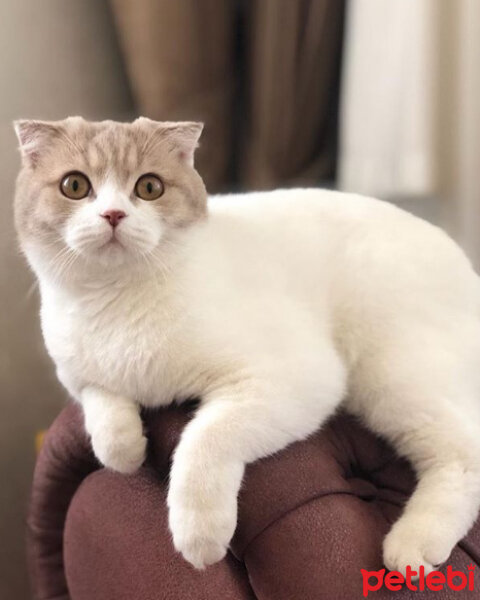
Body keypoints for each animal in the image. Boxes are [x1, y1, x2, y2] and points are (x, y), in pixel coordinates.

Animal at [13, 118, 480, 576]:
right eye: (75, 185)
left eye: (149, 187)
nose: (113, 214)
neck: (117, 303)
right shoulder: (78, 375)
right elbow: (102, 411)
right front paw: (127, 450)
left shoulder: (298, 377)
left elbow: (205, 437)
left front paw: (199, 532)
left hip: (391, 375)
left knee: (465, 451)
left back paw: (413, 544)